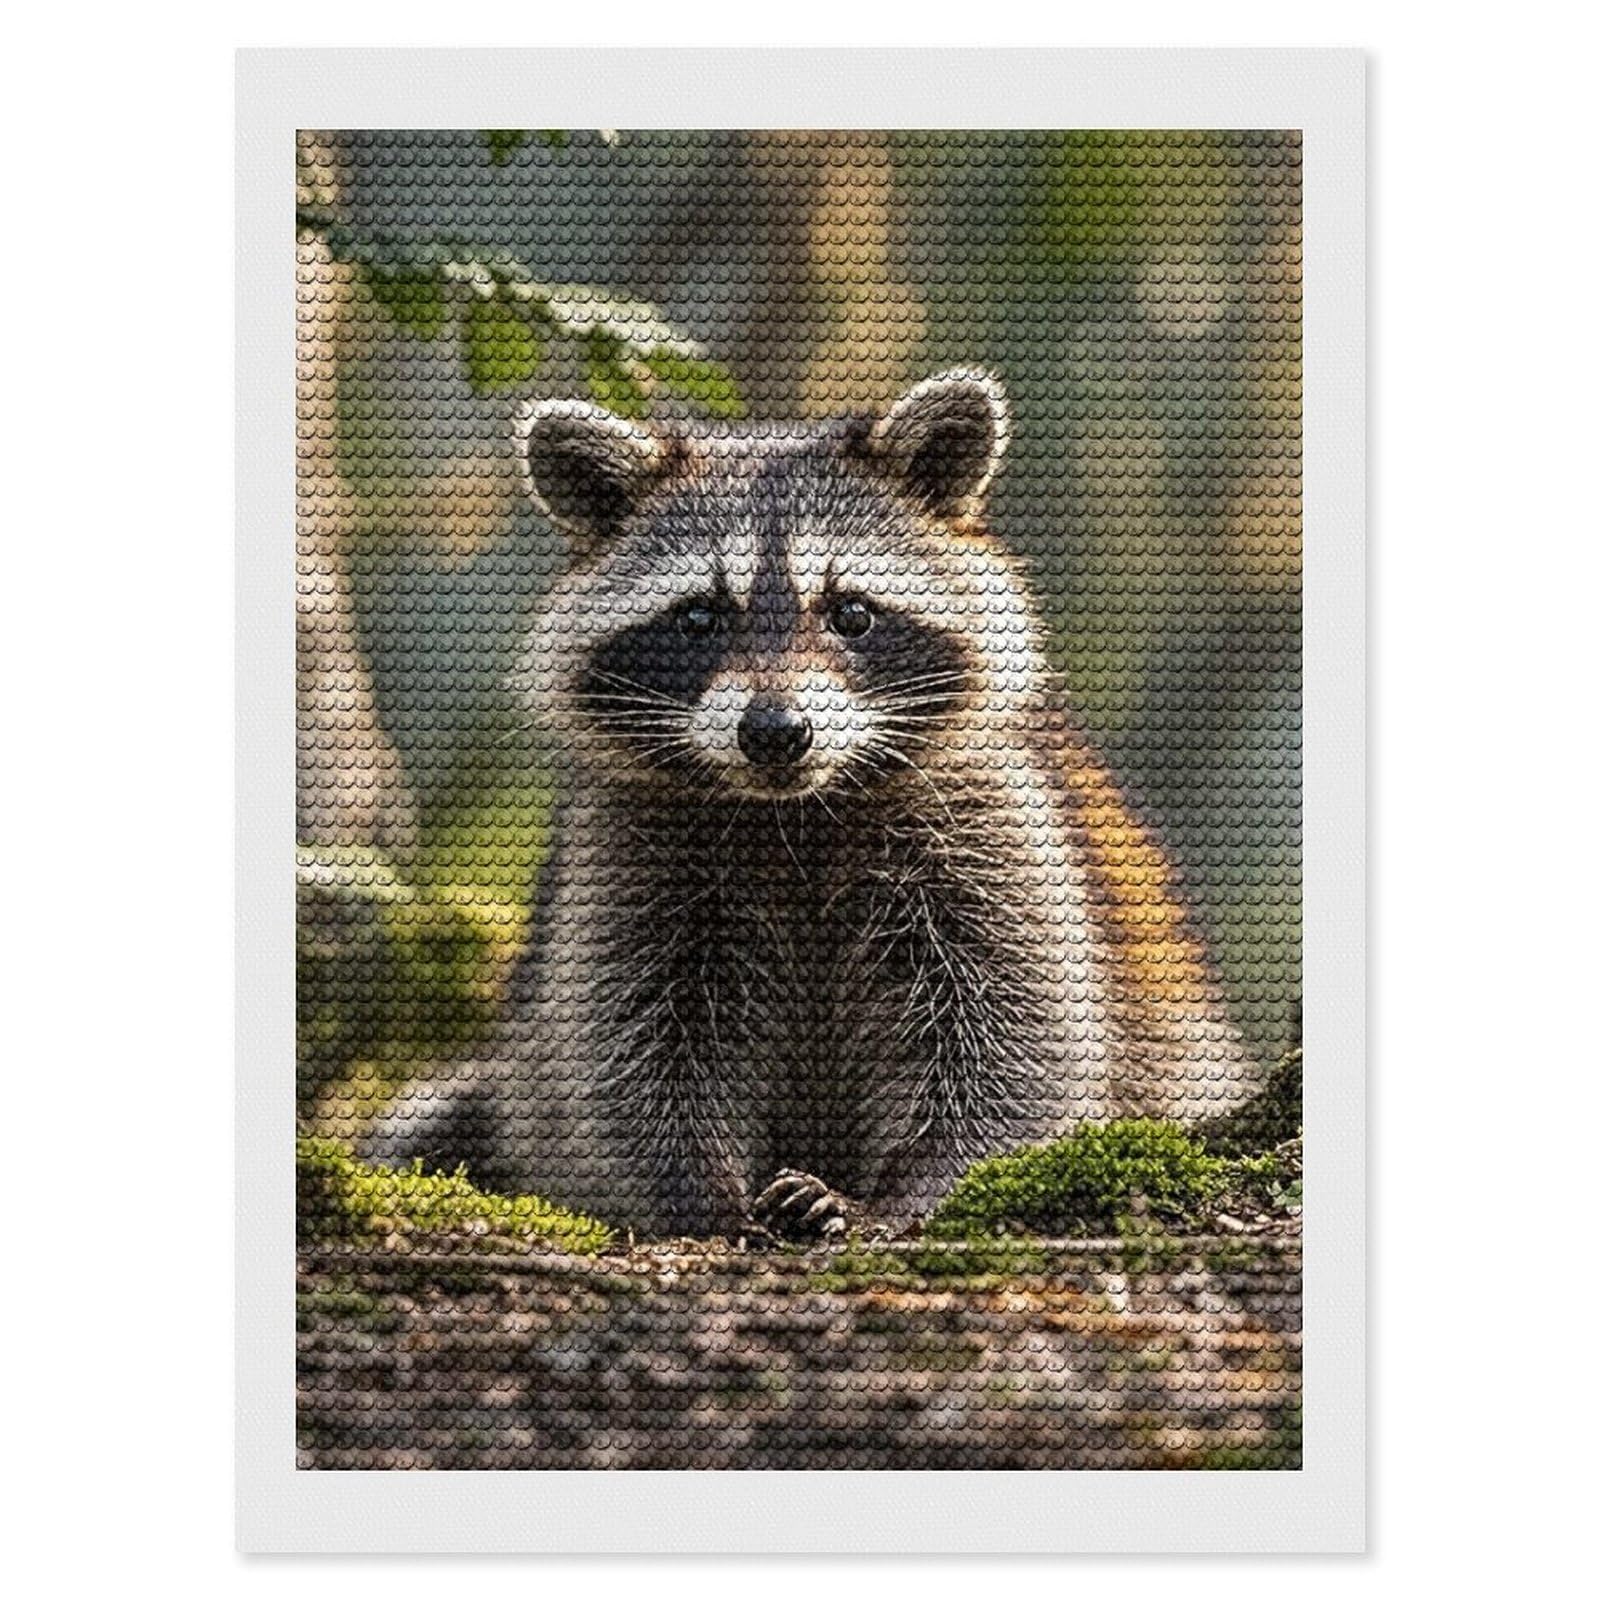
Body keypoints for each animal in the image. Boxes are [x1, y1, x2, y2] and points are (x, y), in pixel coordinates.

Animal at [364, 370, 1259, 1238]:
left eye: (851, 613)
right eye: (698, 616)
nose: (774, 731)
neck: (795, 814)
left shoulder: (993, 819)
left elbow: (1016, 1039)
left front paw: (903, 1194)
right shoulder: (632, 849)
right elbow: (630, 1047)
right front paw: (702, 1197)